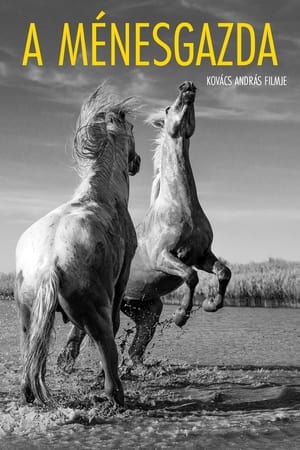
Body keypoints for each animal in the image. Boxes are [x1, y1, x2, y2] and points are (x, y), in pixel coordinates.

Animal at [14, 82, 141, 406]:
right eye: (132, 129)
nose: (136, 162)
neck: (103, 194)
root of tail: (50, 263)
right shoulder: (122, 276)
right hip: (96, 313)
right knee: (108, 355)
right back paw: (117, 397)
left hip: (28, 316)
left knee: (30, 363)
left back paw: (32, 394)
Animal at [58, 81, 232, 370]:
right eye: (168, 108)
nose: (188, 87)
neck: (180, 207)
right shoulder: (165, 257)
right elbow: (191, 276)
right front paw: (181, 316)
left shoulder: (202, 255)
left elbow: (223, 272)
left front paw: (211, 304)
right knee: (79, 333)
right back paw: (66, 363)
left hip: (144, 308)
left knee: (137, 342)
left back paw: (133, 364)